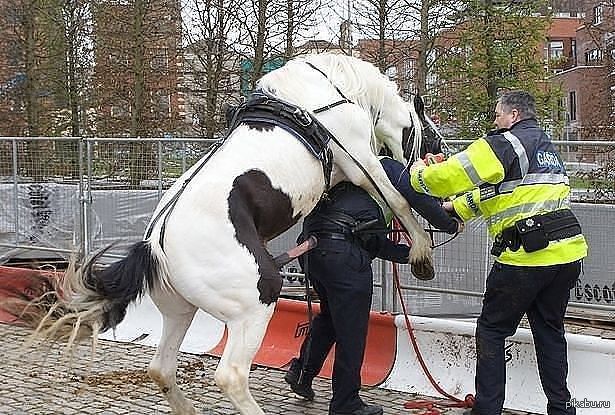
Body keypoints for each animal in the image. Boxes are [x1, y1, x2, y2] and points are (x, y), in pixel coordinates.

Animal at [22, 53, 438, 415]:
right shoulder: (361, 161)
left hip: (180, 311)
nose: (433, 157)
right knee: (231, 376)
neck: (327, 90)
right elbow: (398, 201)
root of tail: (153, 246)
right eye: (431, 132)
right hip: (255, 306)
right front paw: (421, 253)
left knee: (161, 367)